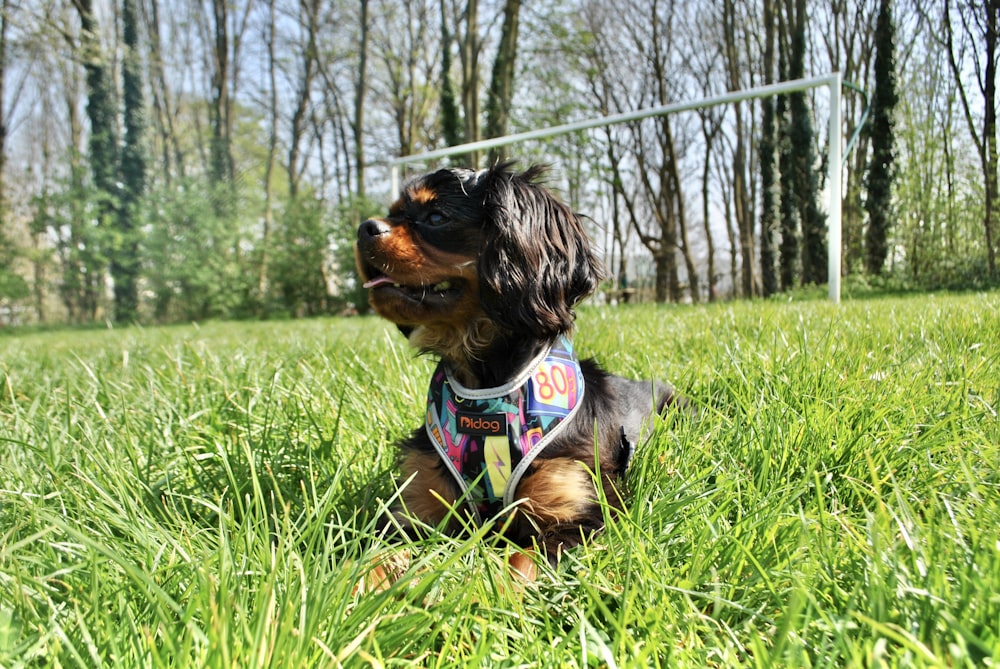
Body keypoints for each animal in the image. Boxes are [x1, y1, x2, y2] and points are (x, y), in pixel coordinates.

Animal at [356, 162, 684, 580]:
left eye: (436, 217)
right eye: (393, 212)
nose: (363, 227)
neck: (486, 389)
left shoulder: (581, 511)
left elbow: (519, 562)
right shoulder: (414, 508)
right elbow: (373, 555)